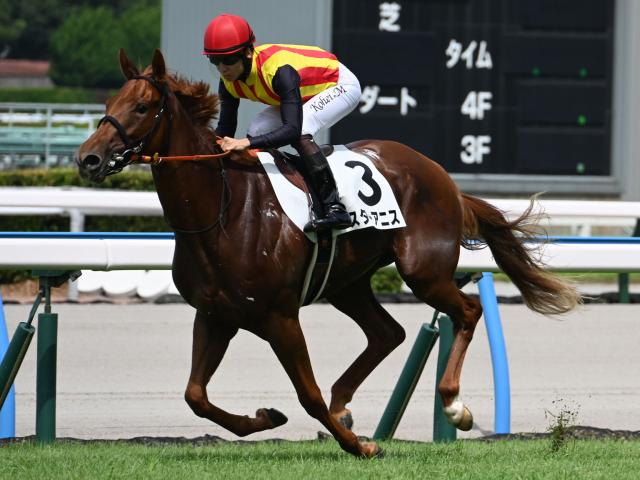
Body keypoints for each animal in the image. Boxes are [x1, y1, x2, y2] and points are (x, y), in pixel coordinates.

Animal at [76, 49, 579, 458]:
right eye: (108, 106)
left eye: (142, 106)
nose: (88, 159)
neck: (223, 210)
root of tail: (444, 178)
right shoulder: (215, 314)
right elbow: (195, 395)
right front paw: (267, 417)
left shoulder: (279, 316)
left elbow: (308, 394)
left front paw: (360, 447)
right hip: (346, 283)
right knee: (388, 333)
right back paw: (346, 406)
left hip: (423, 270)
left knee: (468, 312)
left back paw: (453, 404)